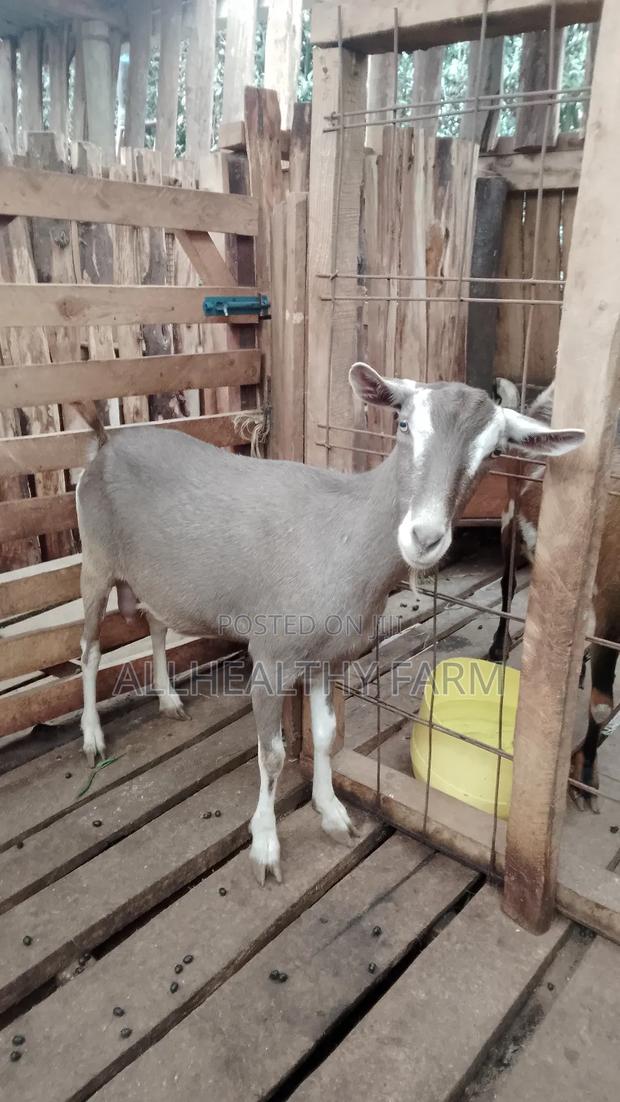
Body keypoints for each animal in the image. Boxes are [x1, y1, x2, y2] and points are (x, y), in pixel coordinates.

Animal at [74, 366, 583, 882]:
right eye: (403, 424)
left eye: (494, 452)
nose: (424, 537)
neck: (345, 533)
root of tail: (106, 443)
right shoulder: (271, 657)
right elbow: (272, 754)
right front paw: (266, 847)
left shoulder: (330, 658)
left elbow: (324, 734)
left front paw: (332, 811)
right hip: (95, 559)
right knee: (89, 648)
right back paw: (93, 737)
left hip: (152, 575)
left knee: (156, 624)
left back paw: (168, 699)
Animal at [489, 382, 619, 810]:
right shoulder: (610, 607)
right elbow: (601, 706)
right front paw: (586, 779)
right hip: (509, 521)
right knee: (507, 588)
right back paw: (498, 647)